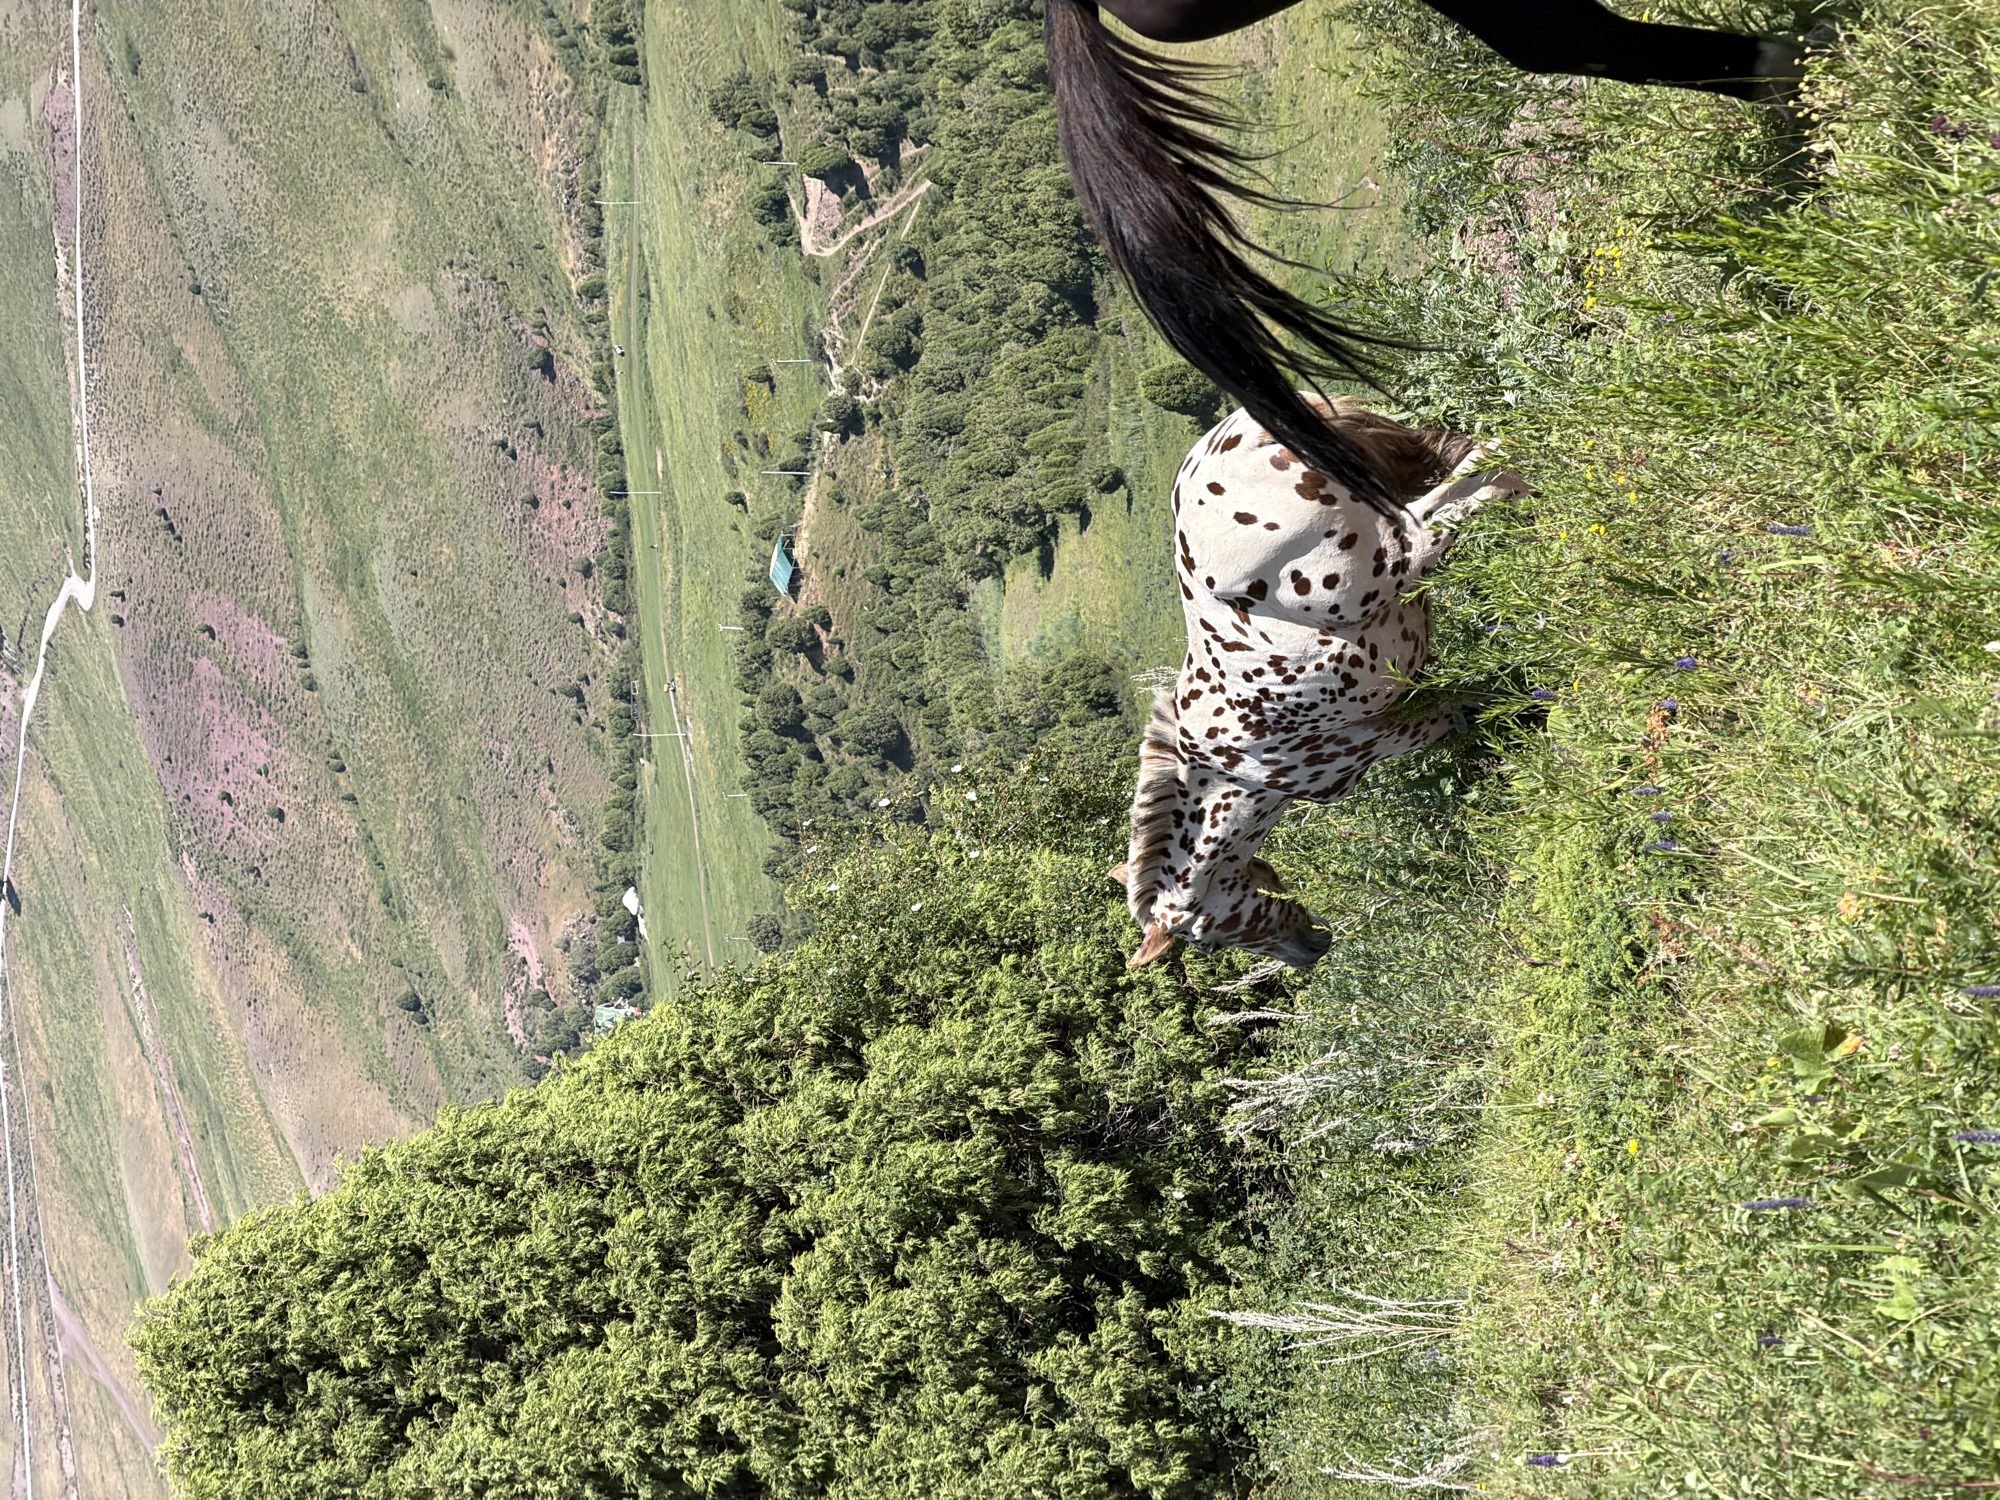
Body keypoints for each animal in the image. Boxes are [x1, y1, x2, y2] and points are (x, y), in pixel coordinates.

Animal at [1110, 396, 1526, 969]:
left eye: (1208, 939)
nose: (1312, 949)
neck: (1236, 773)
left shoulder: (1392, 735)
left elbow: (1478, 704)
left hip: (1394, 555)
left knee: (1474, 482)